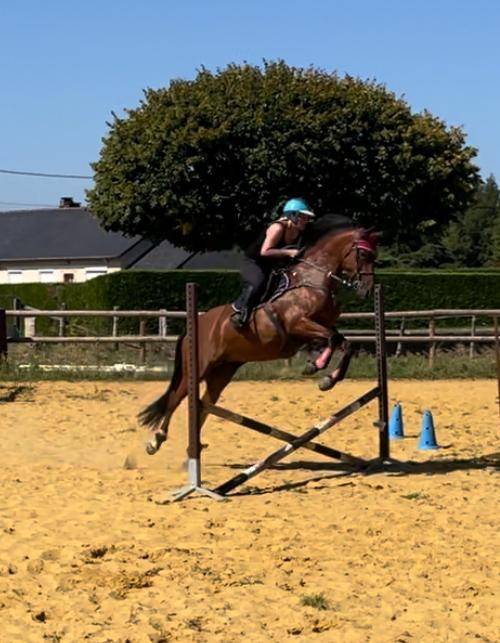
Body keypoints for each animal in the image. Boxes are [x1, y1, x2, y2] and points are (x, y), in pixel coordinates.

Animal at [139, 216, 378, 455]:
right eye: (364, 255)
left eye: (375, 256)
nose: (367, 290)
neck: (314, 278)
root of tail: (193, 327)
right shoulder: (298, 324)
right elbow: (332, 338)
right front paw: (317, 367)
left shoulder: (321, 325)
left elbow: (343, 343)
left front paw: (326, 378)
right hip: (198, 368)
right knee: (177, 398)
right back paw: (156, 441)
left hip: (221, 372)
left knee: (204, 405)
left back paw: (193, 447)